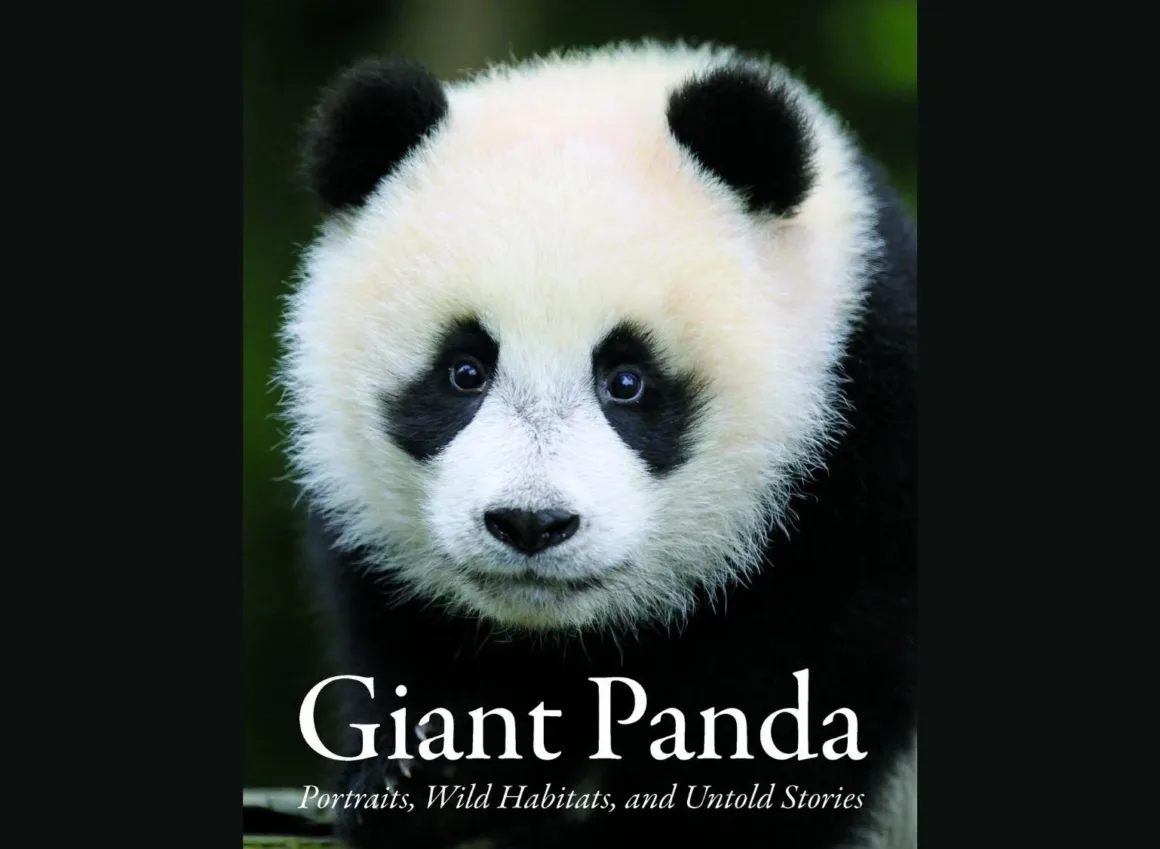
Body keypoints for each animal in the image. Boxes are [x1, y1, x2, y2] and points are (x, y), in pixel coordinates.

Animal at [277, 40, 916, 849]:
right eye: (464, 371)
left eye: (627, 380)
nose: (530, 523)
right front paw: (423, 780)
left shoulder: (866, 434)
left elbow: (813, 673)